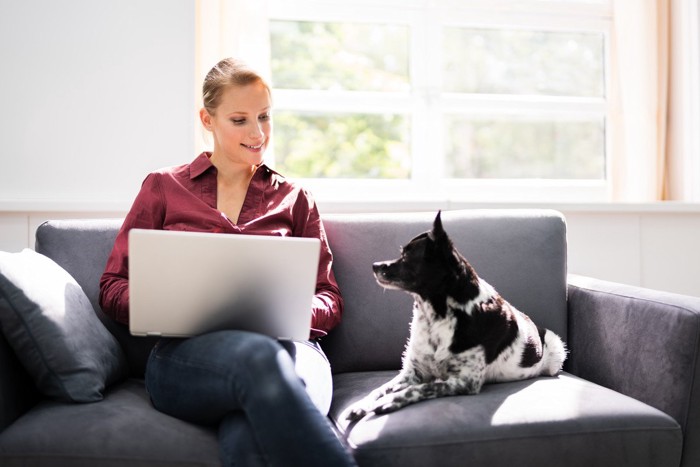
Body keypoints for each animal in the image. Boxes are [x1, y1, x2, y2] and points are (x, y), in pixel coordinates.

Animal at [348, 210, 568, 422]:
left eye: (407, 256)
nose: (374, 265)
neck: (436, 316)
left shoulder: (465, 381)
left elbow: (421, 388)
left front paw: (391, 401)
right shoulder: (413, 371)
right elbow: (379, 389)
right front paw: (361, 404)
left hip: (557, 352)